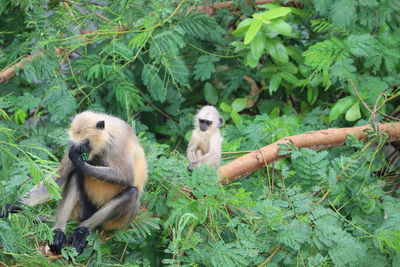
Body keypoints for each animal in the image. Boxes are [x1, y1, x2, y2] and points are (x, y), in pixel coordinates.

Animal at [0, 111, 147, 255]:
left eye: (86, 142)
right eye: (78, 142)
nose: (80, 149)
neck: (108, 133)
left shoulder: (118, 143)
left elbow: (126, 177)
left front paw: (78, 161)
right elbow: (60, 176)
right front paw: (14, 205)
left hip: (117, 222)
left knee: (131, 192)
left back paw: (82, 230)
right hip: (80, 210)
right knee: (75, 175)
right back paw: (58, 231)